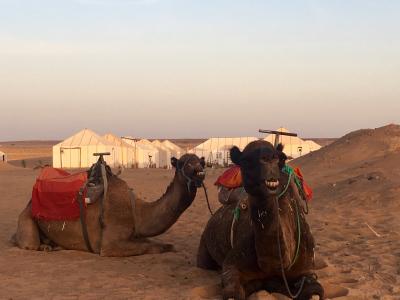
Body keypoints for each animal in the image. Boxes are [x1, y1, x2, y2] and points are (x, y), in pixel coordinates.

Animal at [14, 154, 206, 256]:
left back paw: (53, 245)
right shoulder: (109, 244)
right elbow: (148, 246)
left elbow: (159, 243)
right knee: (27, 243)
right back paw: (45, 247)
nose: (200, 172)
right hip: (26, 218)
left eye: (200, 161)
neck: (137, 210)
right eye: (182, 163)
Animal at [198, 141, 324, 300]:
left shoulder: (306, 268)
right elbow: (232, 289)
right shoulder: (232, 265)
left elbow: (315, 289)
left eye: (280, 158)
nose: (268, 158)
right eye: (245, 161)